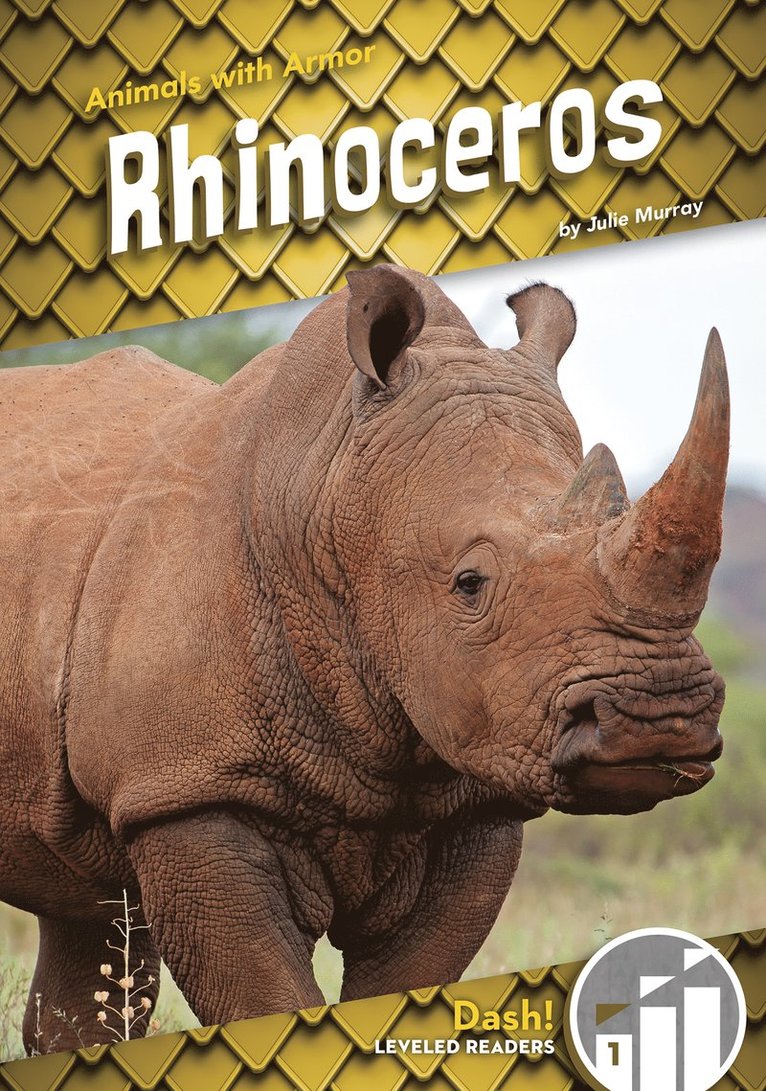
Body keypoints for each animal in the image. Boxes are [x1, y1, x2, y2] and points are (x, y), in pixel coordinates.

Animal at [0, 266, 728, 1053]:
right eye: (469, 583)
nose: (659, 719)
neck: (327, 490)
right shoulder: (187, 783)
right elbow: (263, 998)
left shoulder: (476, 783)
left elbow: (408, 980)